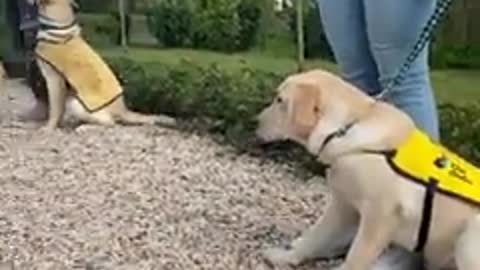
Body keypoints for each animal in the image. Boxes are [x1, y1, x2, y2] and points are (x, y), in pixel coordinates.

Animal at [28, 0, 175, 131]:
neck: (58, 27)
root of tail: (123, 110)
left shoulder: (54, 79)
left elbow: (55, 109)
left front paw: (49, 127)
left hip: (75, 104)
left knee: (111, 123)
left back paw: (85, 127)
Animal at [255, 69, 480, 270]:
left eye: (280, 100)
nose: (255, 122)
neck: (345, 127)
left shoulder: (380, 215)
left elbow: (356, 258)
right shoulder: (342, 204)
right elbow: (315, 236)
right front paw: (286, 256)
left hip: (468, 240)